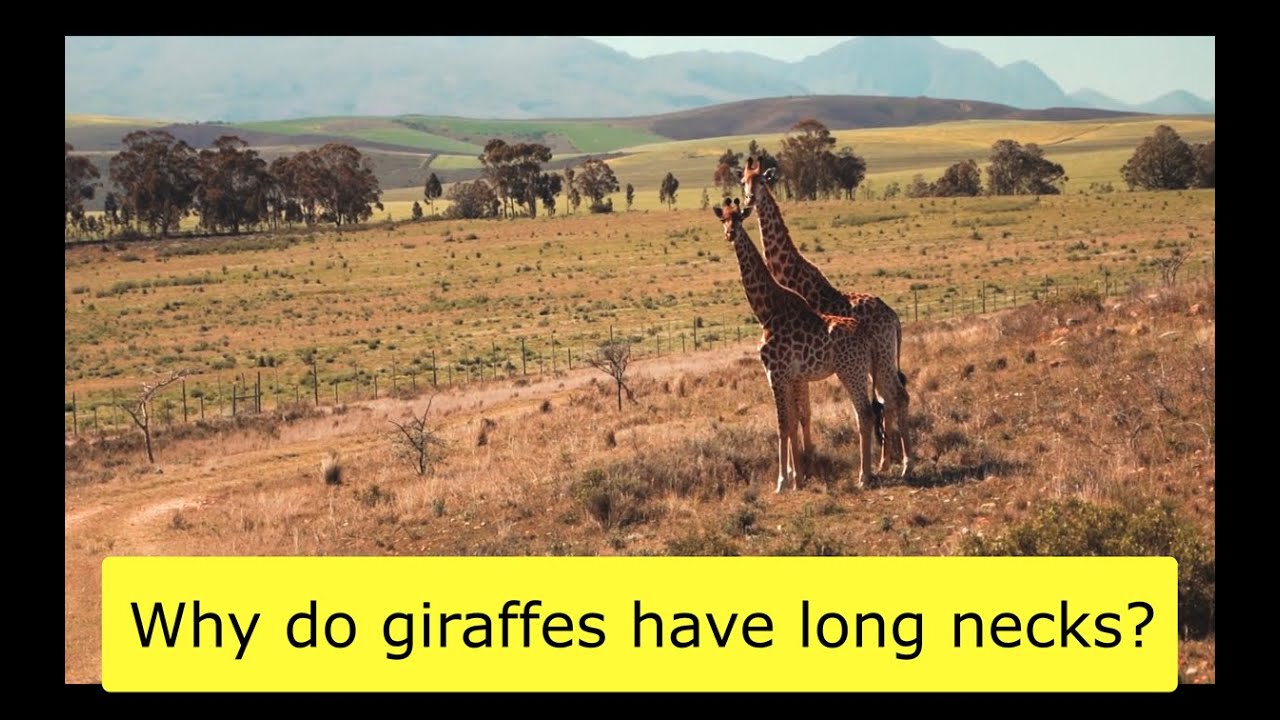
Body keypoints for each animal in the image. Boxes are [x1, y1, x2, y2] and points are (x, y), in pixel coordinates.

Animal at [713, 198, 881, 492]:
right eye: (723, 219)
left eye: (740, 218)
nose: (730, 234)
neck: (766, 310)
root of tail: (867, 336)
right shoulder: (791, 376)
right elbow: (792, 422)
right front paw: (797, 478)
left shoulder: (775, 373)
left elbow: (782, 425)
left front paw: (781, 481)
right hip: (859, 371)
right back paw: (867, 473)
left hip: (851, 371)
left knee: (865, 413)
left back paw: (864, 477)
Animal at [738, 157, 912, 478]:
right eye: (743, 181)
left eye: (762, 180)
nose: (749, 200)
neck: (789, 277)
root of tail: (895, 318)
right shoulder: (799, 365)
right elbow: (804, 413)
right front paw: (805, 464)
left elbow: (800, 413)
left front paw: (800, 469)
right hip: (880, 360)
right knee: (886, 400)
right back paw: (886, 462)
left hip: (880, 358)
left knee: (893, 398)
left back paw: (901, 464)